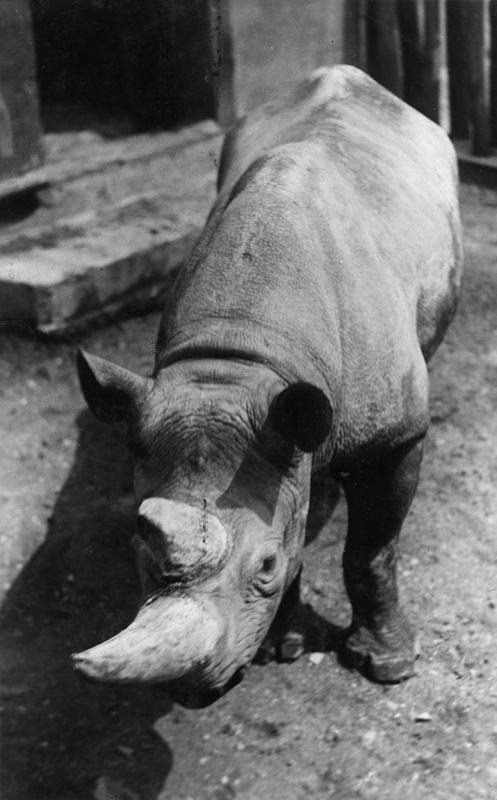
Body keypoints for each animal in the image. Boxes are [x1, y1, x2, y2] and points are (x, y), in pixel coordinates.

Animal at [73, 65, 463, 708]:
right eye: (140, 548)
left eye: (266, 566)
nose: (192, 690)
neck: (242, 358)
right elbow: (295, 508)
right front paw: (283, 647)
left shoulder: (398, 435)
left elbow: (371, 551)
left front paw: (388, 665)